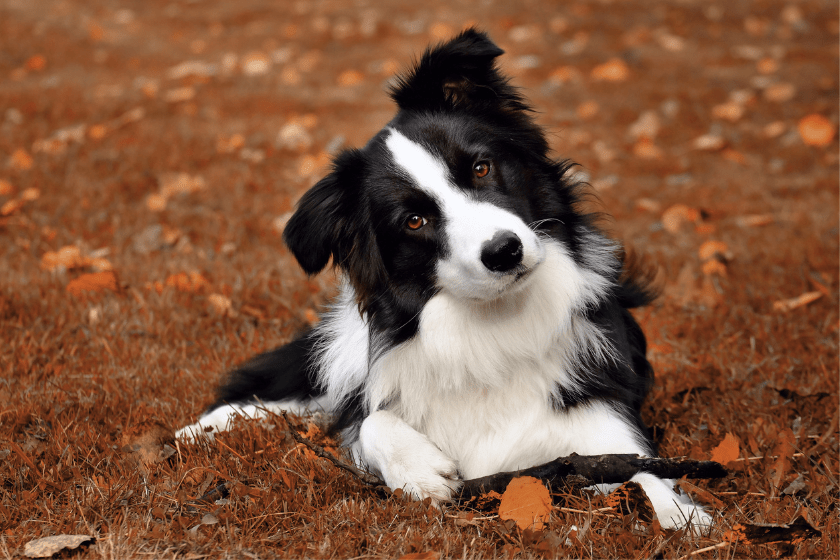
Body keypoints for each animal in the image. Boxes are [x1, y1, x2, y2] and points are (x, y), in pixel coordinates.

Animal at [177, 28, 708, 532]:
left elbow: (648, 477)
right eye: (414, 221)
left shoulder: (605, 423)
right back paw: (198, 430)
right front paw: (419, 469)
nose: (504, 251)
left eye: (481, 167)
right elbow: (368, 419)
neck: (498, 323)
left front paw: (682, 519)